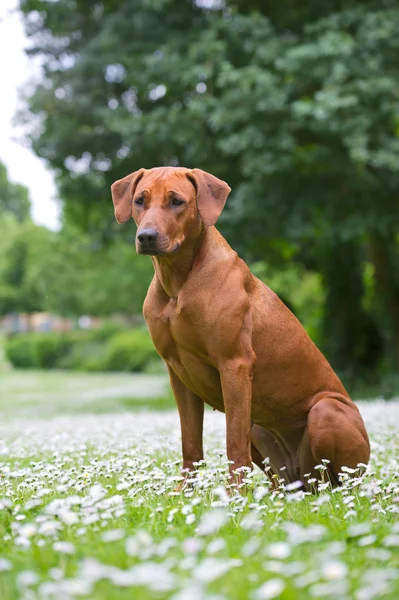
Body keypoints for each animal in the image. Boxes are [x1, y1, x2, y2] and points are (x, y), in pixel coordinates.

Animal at [111, 165, 370, 488]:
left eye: (176, 201)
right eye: (139, 200)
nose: (146, 237)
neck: (178, 282)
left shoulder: (234, 364)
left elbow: (234, 443)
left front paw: (234, 495)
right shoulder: (178, 374)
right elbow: (190, 444)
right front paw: (185, 493)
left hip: (326, 412)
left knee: (347, 482)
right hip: (263, 431)